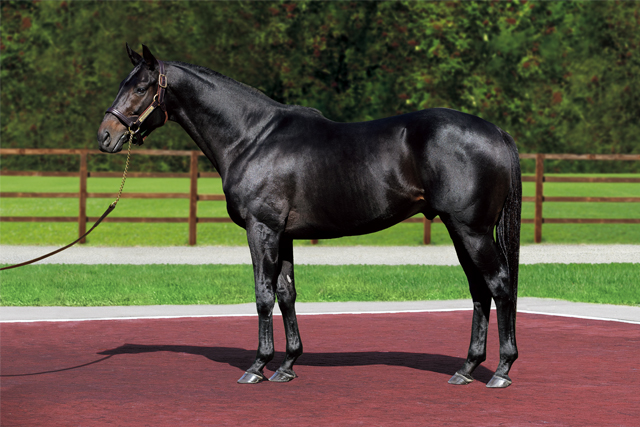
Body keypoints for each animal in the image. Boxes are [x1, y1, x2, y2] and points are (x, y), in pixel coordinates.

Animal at [98, 44, 522, 388]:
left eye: (140, 88)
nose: (105, 136)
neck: (252, 137)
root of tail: (497, 132)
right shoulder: (283, 234)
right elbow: (287, 293)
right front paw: (287, 365)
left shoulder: (262, 229)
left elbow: (263, 294)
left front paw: (258, 366)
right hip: (459, 229)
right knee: (479, 290)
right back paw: (467, 369)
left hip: (472, 230)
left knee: (499, 284)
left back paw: (501, 370)